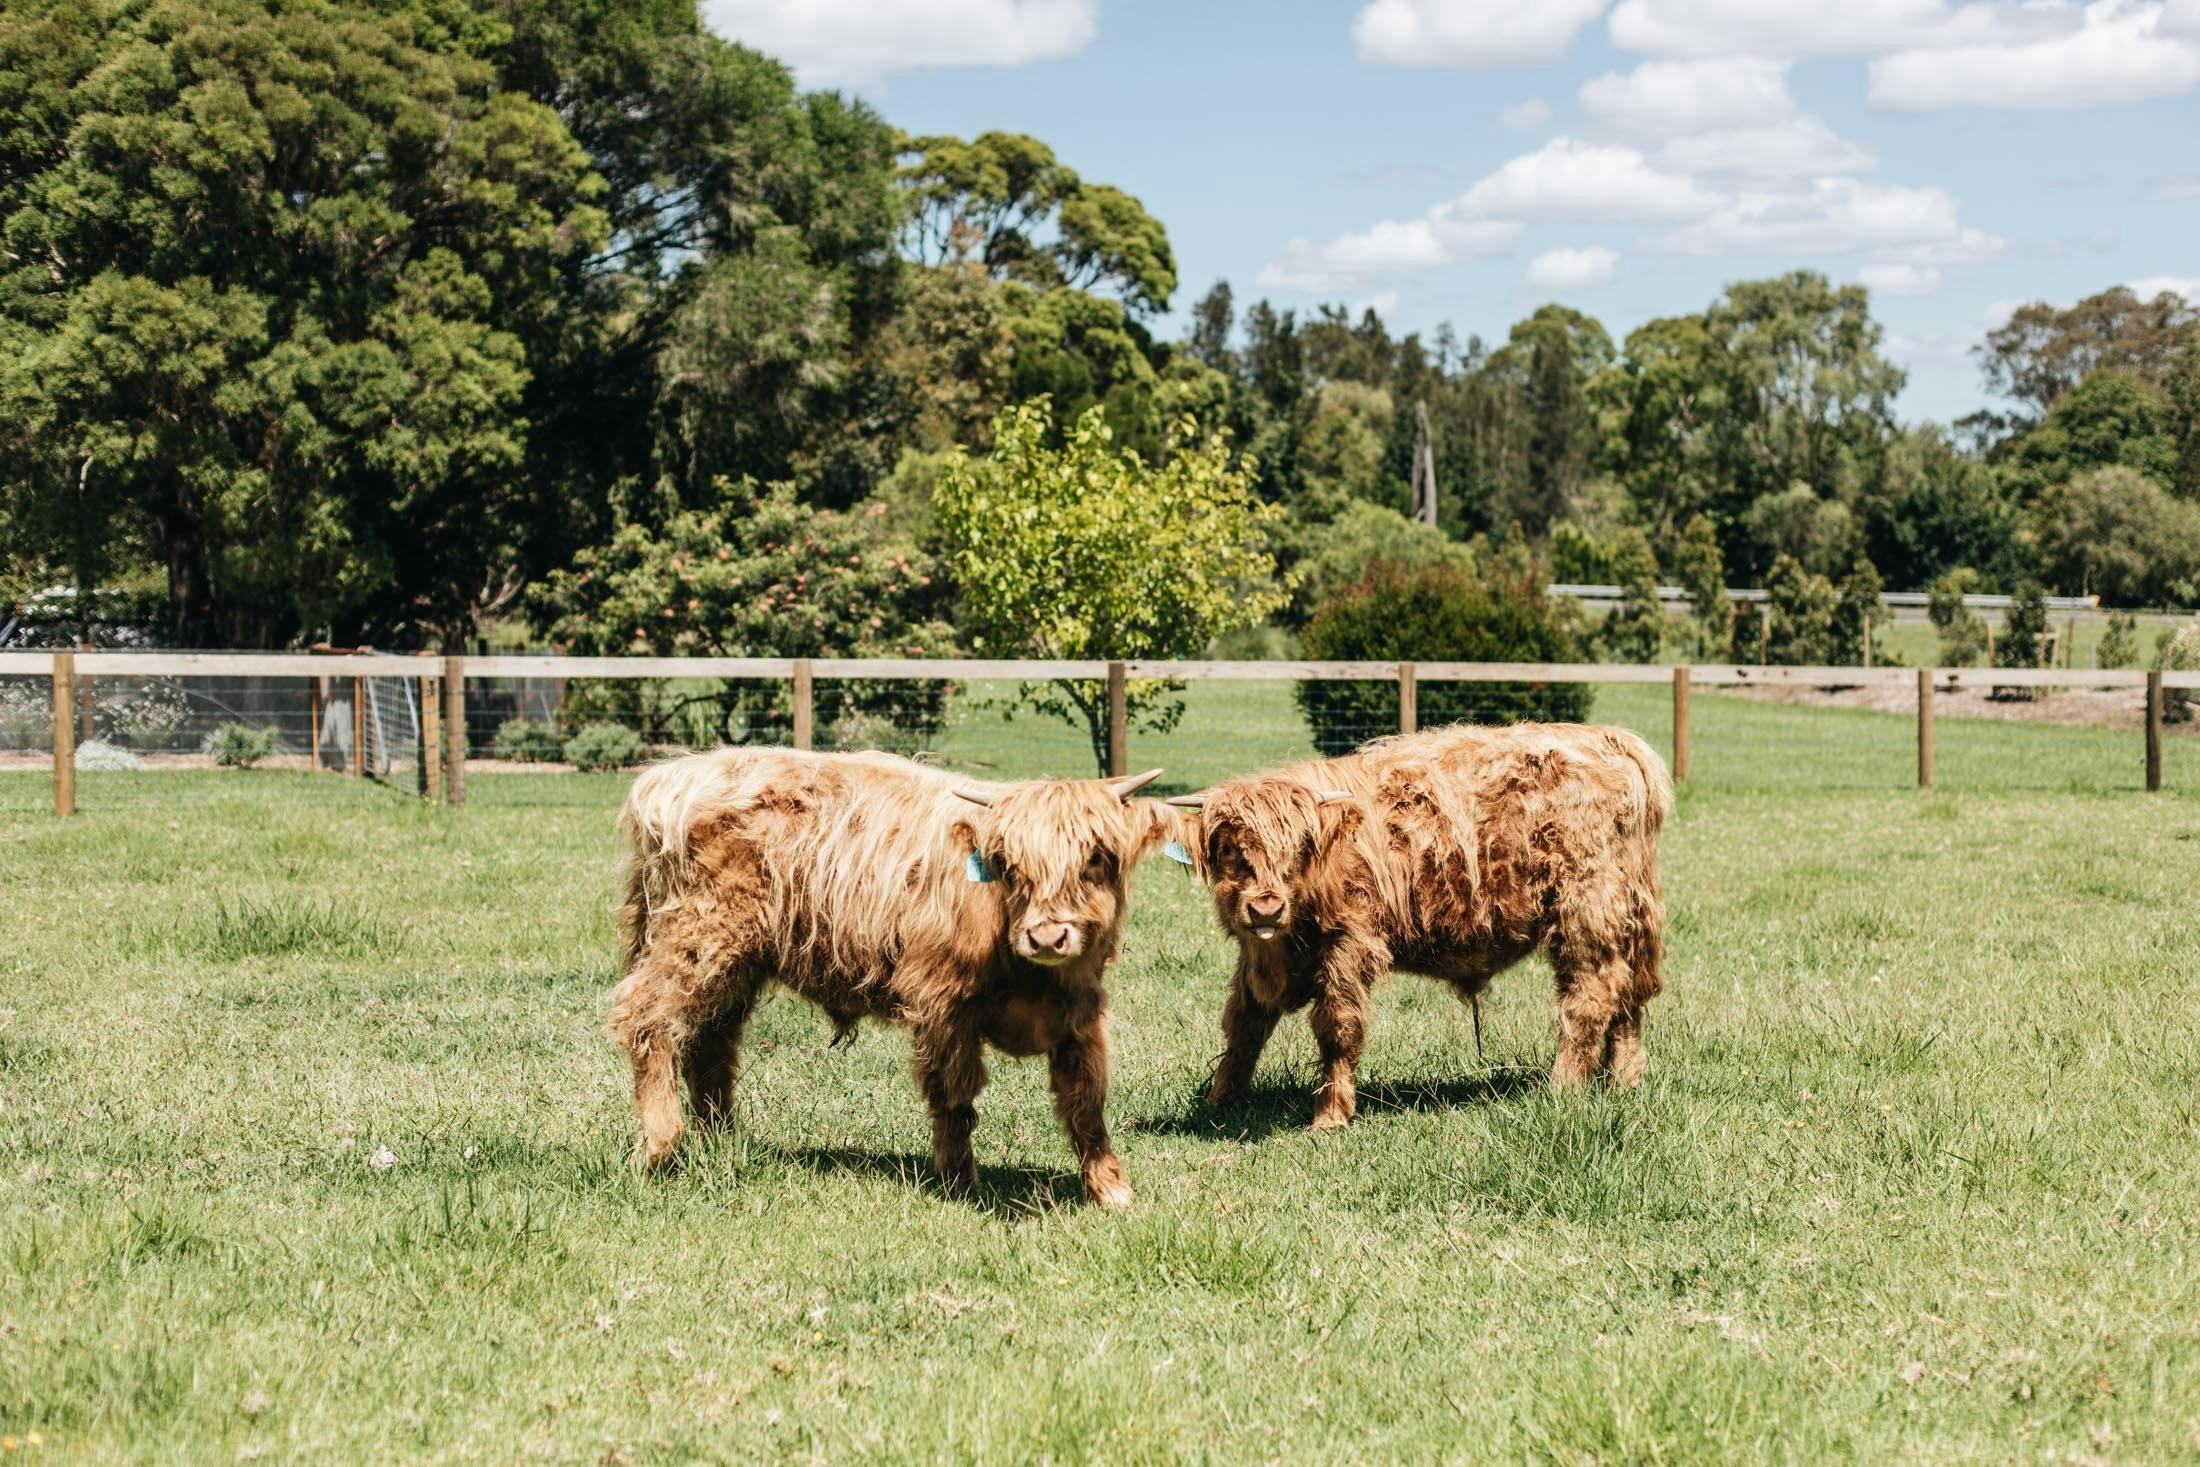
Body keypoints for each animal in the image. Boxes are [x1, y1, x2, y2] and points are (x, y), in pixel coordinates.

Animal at [608, 747, 1168, 1206]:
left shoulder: (1080, 1015)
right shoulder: (944, 1006)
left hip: (739, 962)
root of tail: (669, 776)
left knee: (712, 1042)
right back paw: (659, 1148)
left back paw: (724, 1140)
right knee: (648, 1016)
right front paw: (961, 1183)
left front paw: (1112, 1189)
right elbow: (955, 1097)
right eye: (1008, 865)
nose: (1048, 937)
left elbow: (1086, 1100)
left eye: (1096, 859)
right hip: (698, 938)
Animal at [1167, 723, 1670, 1130]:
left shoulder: (1349, 943)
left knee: (1589, 996)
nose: (1266, 909)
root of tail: (1609, 739)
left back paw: (1562, 1088)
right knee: (1626, 996)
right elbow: (1243, 1024)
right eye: (1229, 849)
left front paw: (1330, 1117)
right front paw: (1220, 1101)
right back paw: (1623, 1081)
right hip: (1623, 916)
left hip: (1586, 910)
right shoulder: (1259, 956)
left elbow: (1337, 1026)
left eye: (1298, 848)